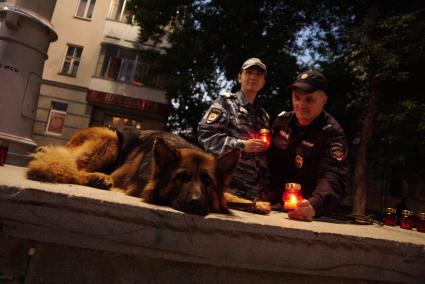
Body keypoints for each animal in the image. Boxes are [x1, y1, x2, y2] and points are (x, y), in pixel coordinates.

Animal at [26, 127, 270, 214]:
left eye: (208, 181)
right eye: (182, 177)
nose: (196, 203)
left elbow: (230, 196)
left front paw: (258, 204)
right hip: (110, 138)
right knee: (72, 168)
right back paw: (98, 177)